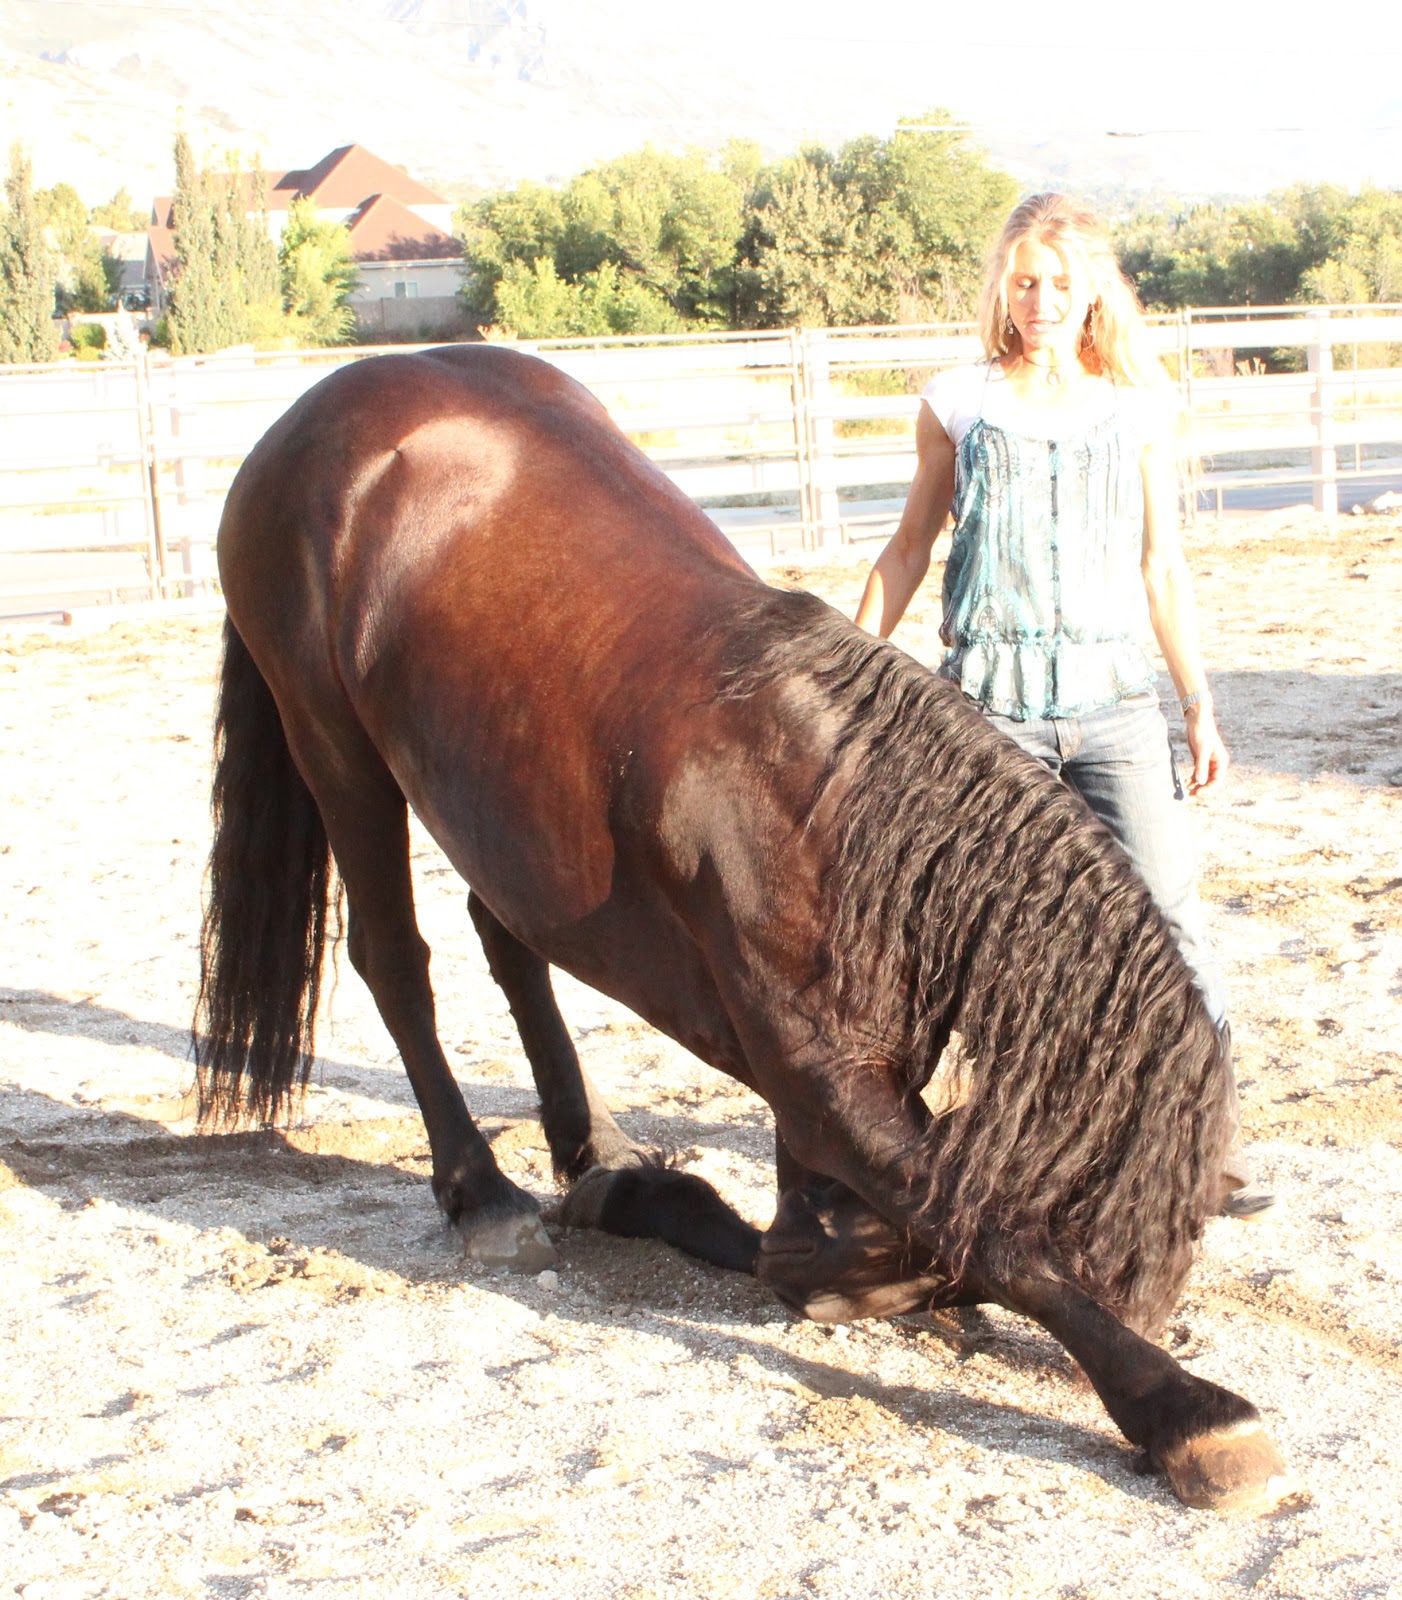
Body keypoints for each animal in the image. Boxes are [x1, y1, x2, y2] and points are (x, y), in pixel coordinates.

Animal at [195, 343, 1291, 1515]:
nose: (1156, 1321)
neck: (833, 815)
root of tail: (321, 410)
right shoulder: (821, 1087)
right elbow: (964, 1227)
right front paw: (1187, 1411)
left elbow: (880, 1232)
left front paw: (658, 1195)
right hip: (335, 744)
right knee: (396, 962)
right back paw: (482, 1194)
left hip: (500, 799)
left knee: (511, 936)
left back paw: (597, 1148)